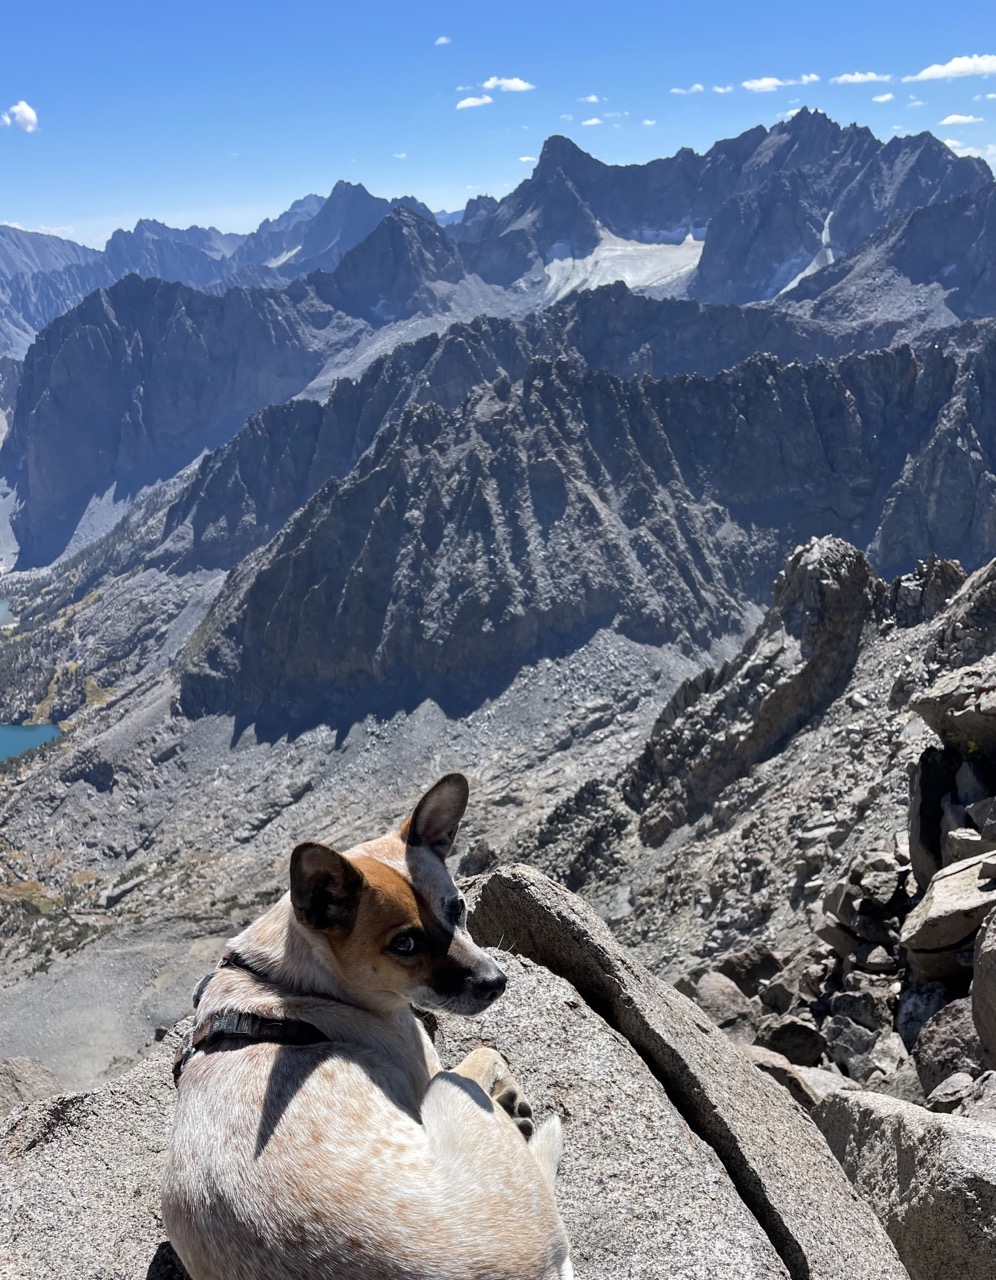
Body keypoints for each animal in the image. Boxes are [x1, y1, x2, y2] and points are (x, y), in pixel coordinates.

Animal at [161, 773, 565, 1274]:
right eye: (405, 944)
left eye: (458, 908)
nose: (496, 983)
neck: (282, 978)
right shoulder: (426, 1067)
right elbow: (487, 1050)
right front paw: (508, 1095)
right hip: (447, 1093)